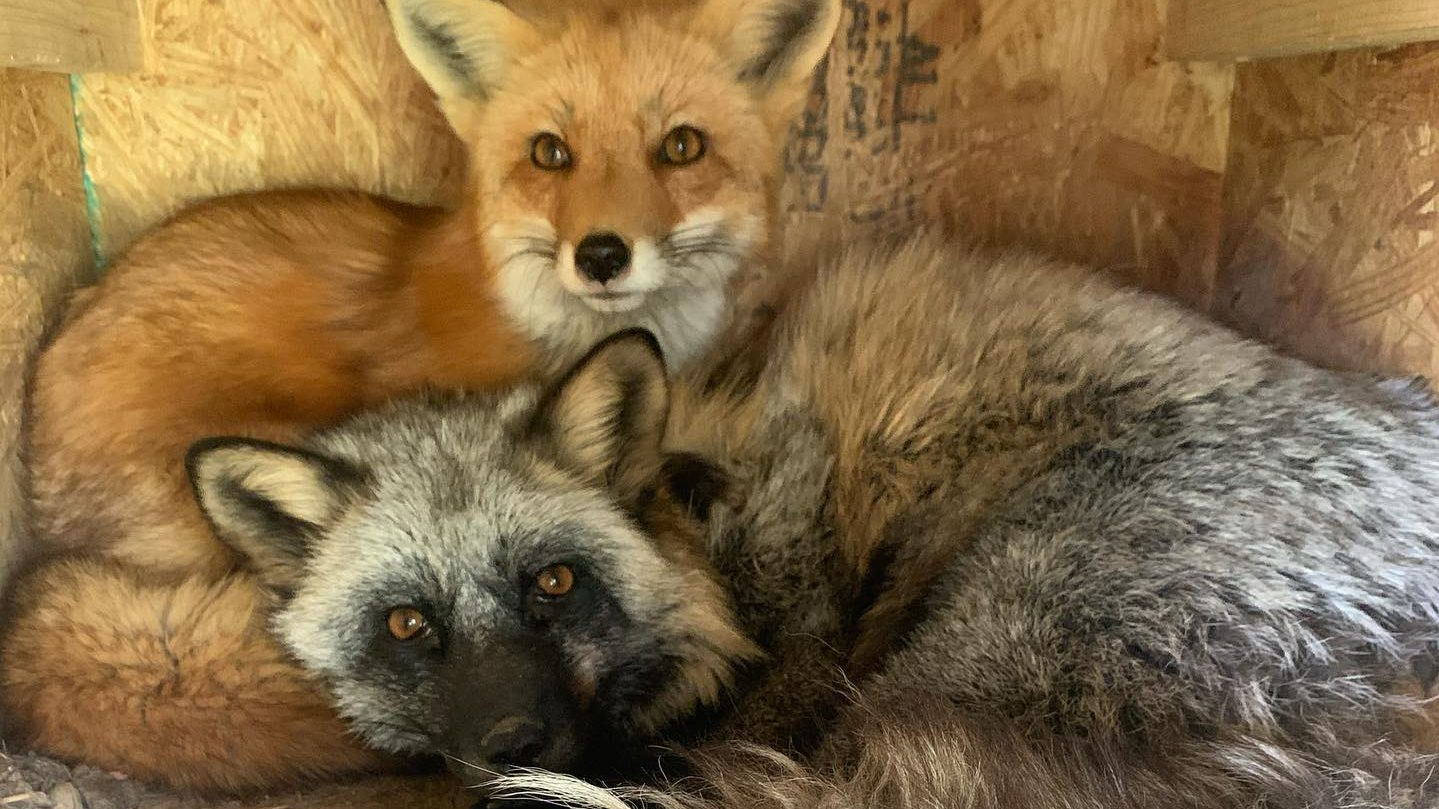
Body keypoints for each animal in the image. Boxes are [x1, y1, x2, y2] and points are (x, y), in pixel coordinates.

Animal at [188, 234, 1439, 808]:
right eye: (407, 625)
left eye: (553, 582)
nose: (514, 745)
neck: (712, 524)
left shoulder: (800, 663)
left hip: (970, 642)